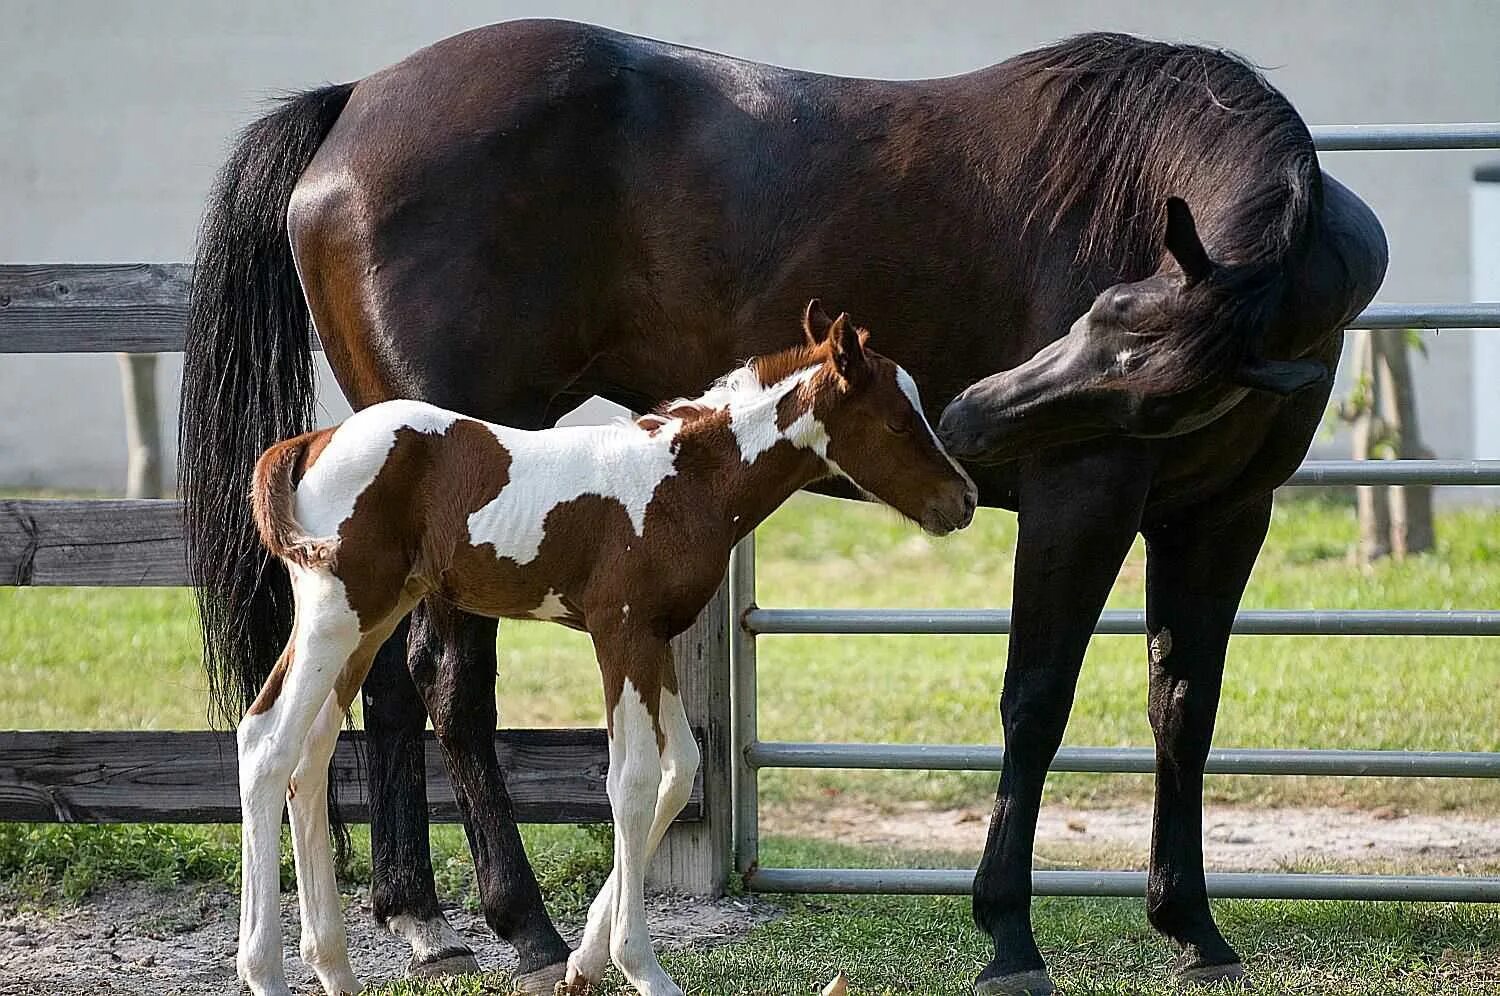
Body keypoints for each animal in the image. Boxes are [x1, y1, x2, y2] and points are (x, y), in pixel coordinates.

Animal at [237, 306, 972, 996]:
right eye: (898, 424)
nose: (961, 501)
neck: (682, 484)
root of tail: (316, 438)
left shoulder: (655, 638)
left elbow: (681, 769)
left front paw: (584, 962)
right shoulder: (618, 632)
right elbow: (633, 779)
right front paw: (641, 967)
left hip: (370, 620)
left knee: (309, 752)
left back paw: (332, 968)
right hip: (339, 611)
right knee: (267, 743)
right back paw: (266, 972)